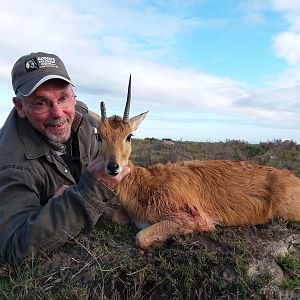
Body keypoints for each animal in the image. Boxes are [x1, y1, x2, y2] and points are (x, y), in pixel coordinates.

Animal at [88, 76, 300, 250]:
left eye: (129, 135)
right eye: (99, 136)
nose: (113, 167)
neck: (145, 186)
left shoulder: (192, 218)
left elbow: (140, 237)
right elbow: (116, 217)